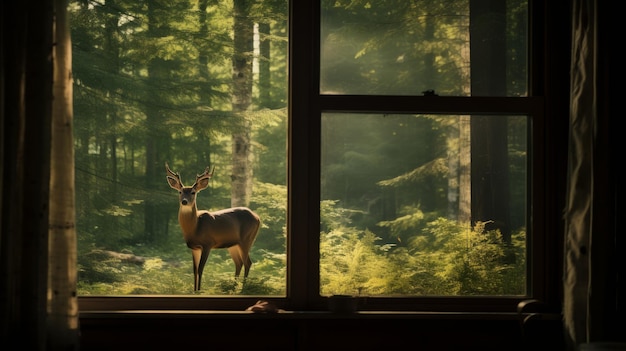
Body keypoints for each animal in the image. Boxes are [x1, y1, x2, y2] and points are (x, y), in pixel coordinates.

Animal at [165, 162, 260, 292]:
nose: (184, 201)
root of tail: (258, 218)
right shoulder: (194, 248)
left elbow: (200, 269)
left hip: (247, 239)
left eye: (193, 192)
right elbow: (194, 270)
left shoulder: (207, 244)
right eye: (180, 192)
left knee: (248, 262)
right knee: (239, 263)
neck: (195, 227)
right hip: (233, 245)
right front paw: (194, 291)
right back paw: (233, 287)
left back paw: (243, 289)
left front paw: (199, 291)